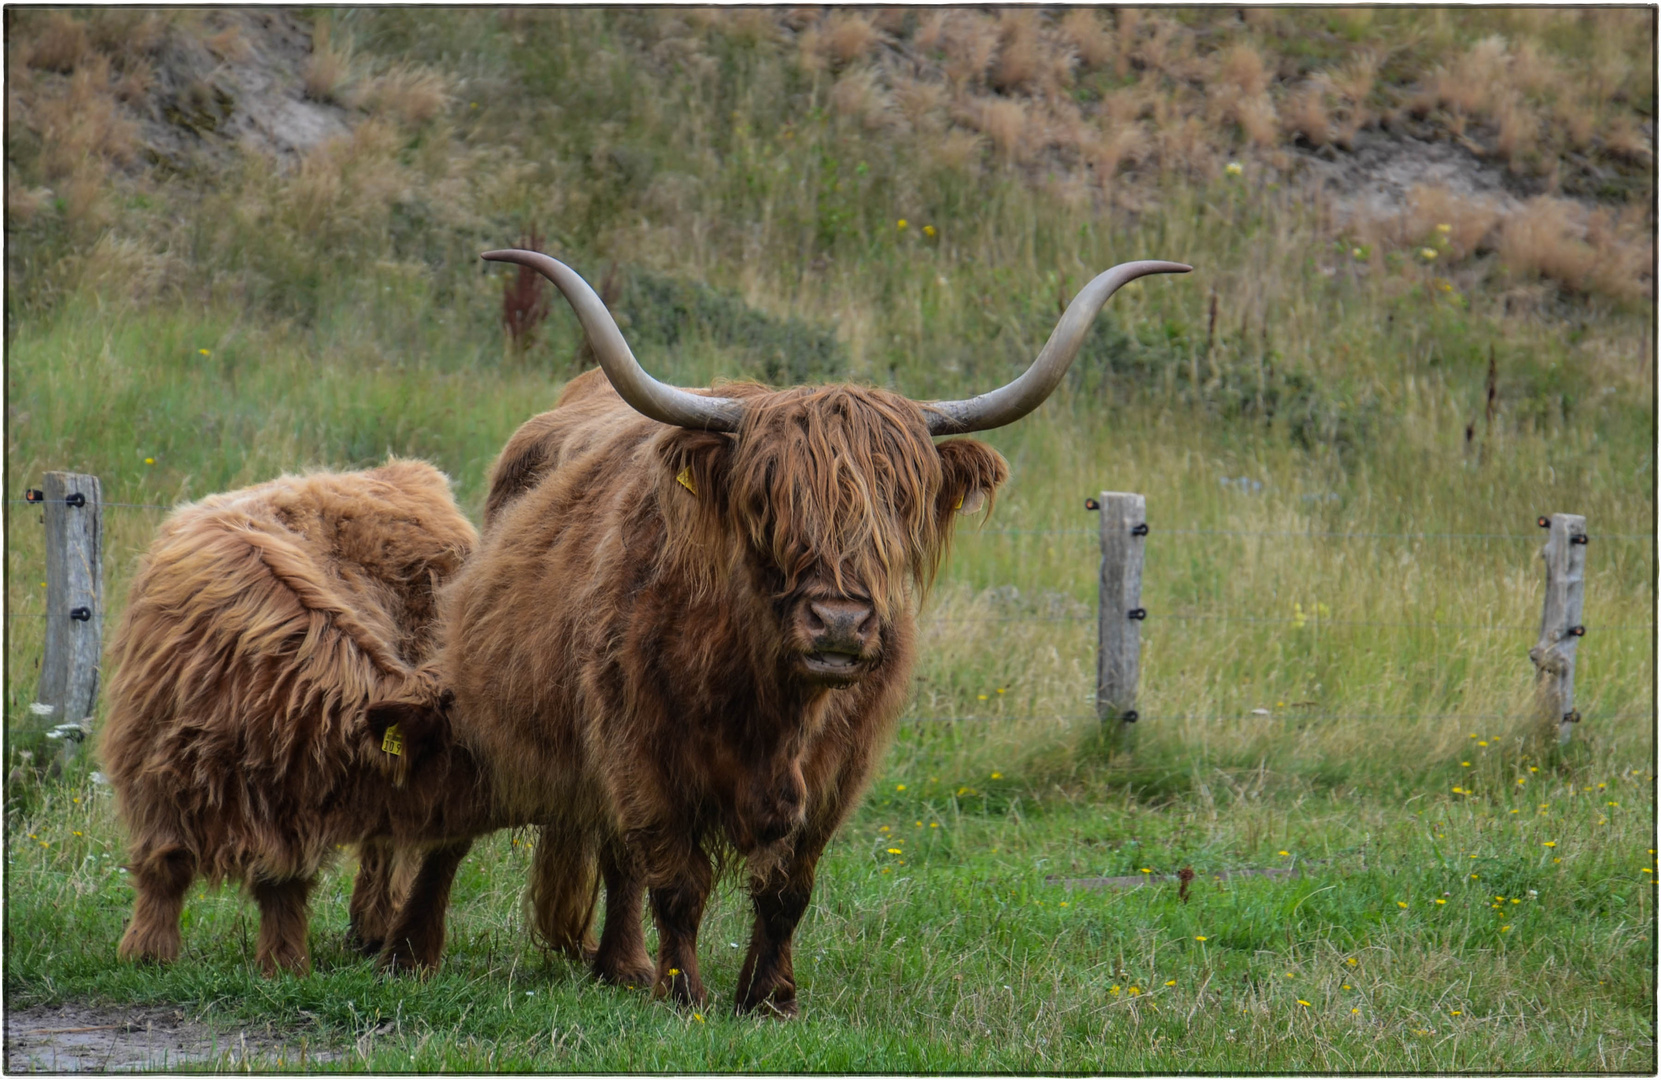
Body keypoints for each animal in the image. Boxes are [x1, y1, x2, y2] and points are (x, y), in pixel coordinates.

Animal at [102, 458, 485, 970]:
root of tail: (404, 470)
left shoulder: (293, 783)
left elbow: (282, 882)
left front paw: (283, 963)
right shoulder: (153, 764)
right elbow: (164, 862)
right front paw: (147, 952)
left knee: (384, 848)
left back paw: (374, 927)